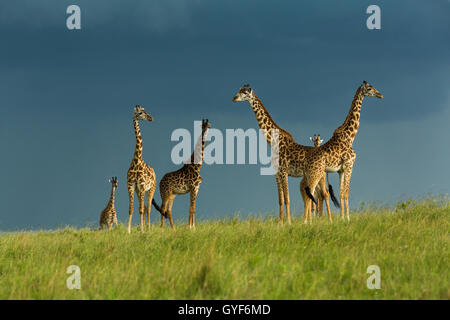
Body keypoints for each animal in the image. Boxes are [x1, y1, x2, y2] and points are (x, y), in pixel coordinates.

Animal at [126, 104, 160, 232]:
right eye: (140, 113)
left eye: (145, 111)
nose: (151, 118)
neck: (137, 161)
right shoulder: (131, 185)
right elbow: (132, 209)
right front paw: (128, 230)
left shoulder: (142, 185)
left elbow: (141, 209)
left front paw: (142, 230)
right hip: (140, 191)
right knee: (145, 207)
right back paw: (146, 226)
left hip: (151, 189)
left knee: (148, 207)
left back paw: (148, 227)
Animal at [234, 85, 336, 225]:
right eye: (239, 90)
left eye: (244, 92)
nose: (234, 98)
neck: (273, 142)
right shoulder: (277, 174)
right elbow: (280, 199)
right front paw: (280, 223)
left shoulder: (284, 172)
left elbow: (287, 198)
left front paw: (288, 222)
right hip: (317, 176)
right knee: (321, 194)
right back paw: (320, 220)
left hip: (317, 175)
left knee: (322, 194)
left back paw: (323, 220)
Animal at [302, 80, 384, 222]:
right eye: (369, 88)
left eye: (373, 87)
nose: (380, 95)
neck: (350, 137)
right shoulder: (349, 164)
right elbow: (346, 192)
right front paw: (348, 218)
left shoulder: (340, 170)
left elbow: (340, 193)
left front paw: (342, 218)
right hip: (315, 174)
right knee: (310, 194)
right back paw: (306, 222)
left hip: (311, 175)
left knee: (311, 194)